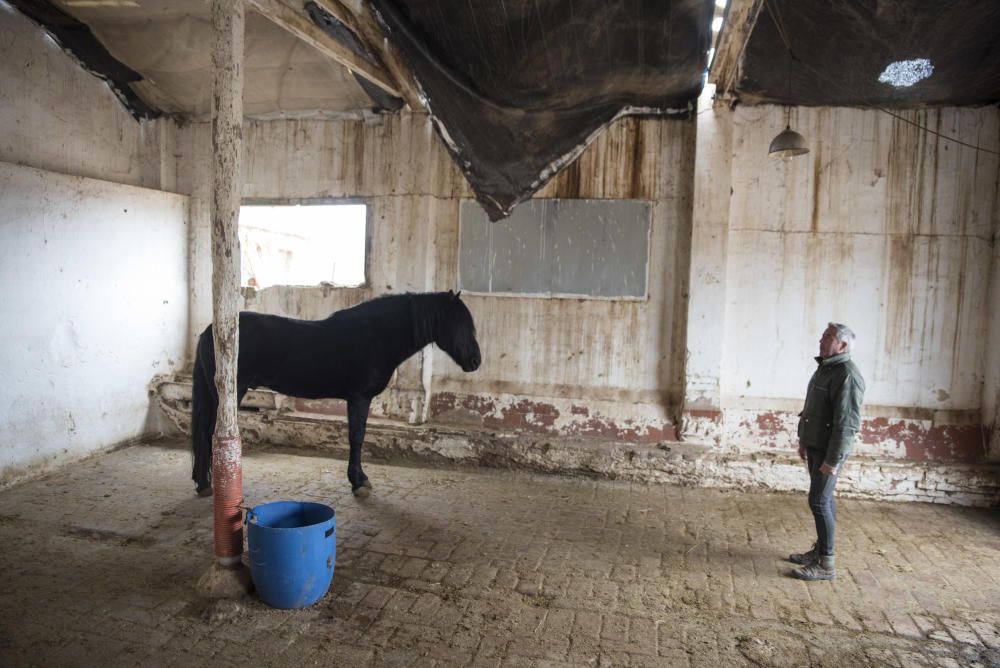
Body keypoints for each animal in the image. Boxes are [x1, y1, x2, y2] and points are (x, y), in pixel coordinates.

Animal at [193, 290, 482, 496]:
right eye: (459, 324)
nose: (476, 361)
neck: (376, 337)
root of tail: (212, 330)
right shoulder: (359, 399)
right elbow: (357, 437)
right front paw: (359, 482)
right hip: (230, 393)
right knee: (210, 433)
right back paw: (210, 484)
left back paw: (203, 481)